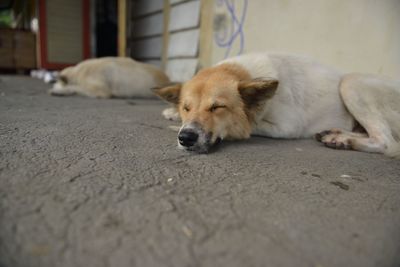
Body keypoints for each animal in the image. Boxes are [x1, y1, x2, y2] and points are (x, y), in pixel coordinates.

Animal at [154, 52, 400, 158]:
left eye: (217, 107)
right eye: (186, 108)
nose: (186, 138)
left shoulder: (289, 126)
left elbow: (250, 126)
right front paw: (172, 112)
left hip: (351, 82)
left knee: (388, 143)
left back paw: (344, 140)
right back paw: (336, 135)